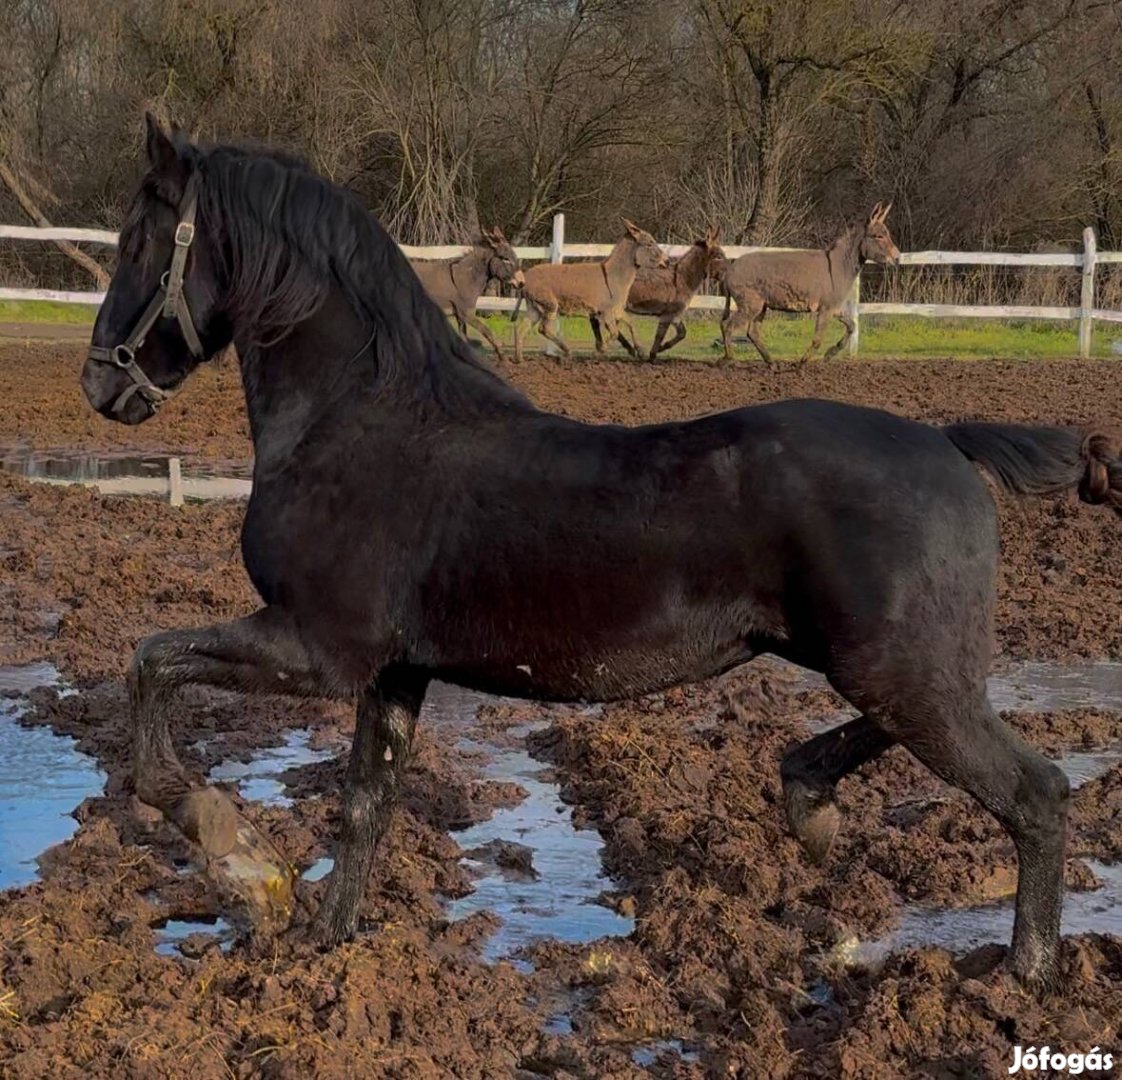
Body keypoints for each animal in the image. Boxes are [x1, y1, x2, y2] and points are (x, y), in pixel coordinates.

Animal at [81, 116, 1122, 986]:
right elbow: (366, 806)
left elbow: (151, 666)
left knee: (1035, 791)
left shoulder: (318, 648)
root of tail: (949, 441)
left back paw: (1022, 977)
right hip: (885, 666)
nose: (99, 384)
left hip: (899, 670)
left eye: (137, 243)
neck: (358, 420)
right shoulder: (394, 672)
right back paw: (810, 803)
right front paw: (320, 940)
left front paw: (239, 862)